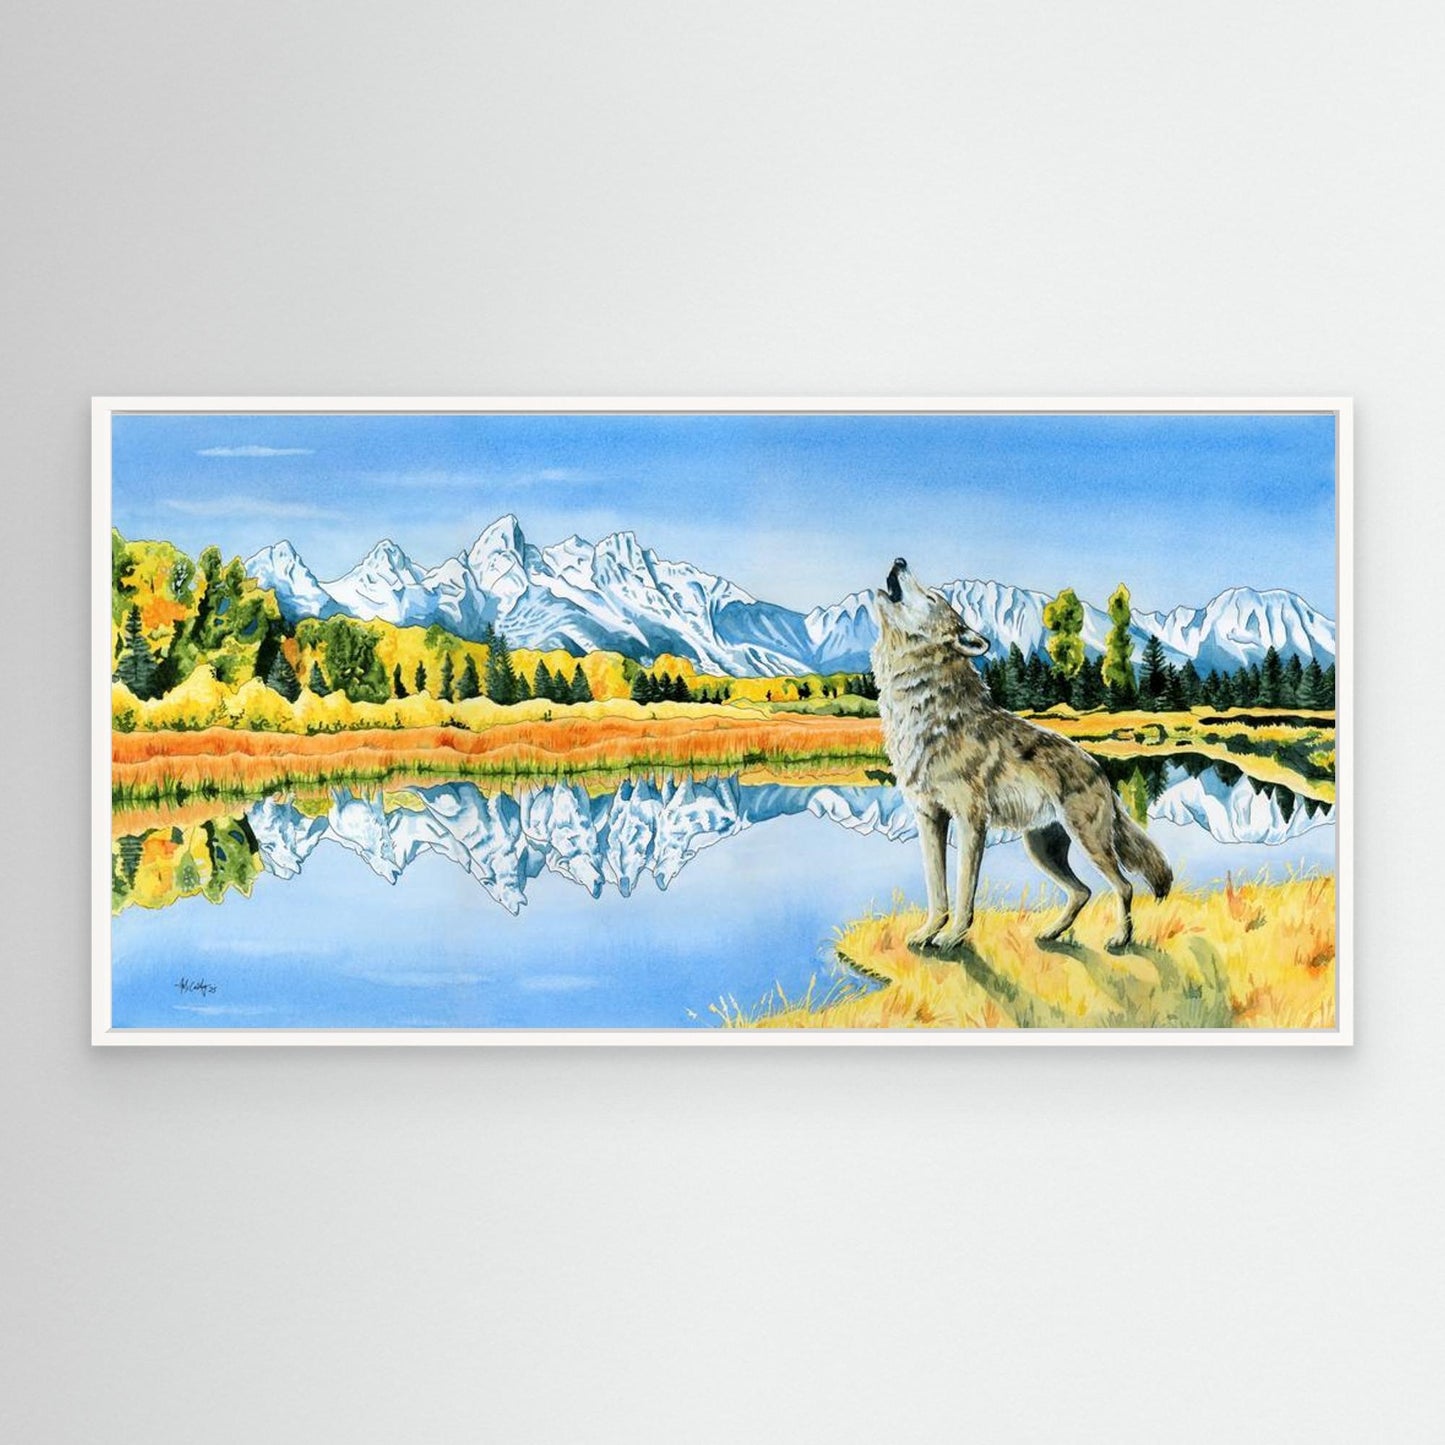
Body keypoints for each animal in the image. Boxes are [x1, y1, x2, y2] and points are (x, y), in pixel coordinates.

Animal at [871, 559, 1172, 951]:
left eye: (932, 597)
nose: (899, 561)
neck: (927, 711)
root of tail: (1100, 771)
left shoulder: (971, 821)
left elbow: (964, 890)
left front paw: (952, 937)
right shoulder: (928, 817)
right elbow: (937, 891)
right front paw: (928, 933)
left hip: (1089, 843)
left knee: (1123, 885)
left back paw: (1120, 938)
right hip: (1041, 849)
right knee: (1083, 891)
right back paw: (1052, 932)